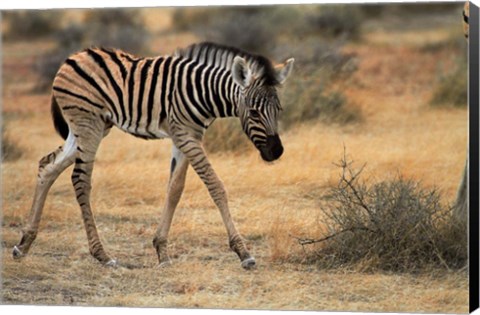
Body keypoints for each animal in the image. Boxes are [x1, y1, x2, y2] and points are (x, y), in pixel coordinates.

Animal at [12, 41, 292, 270]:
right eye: (254, 112)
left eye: (278, 109)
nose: (276, 151)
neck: (203, 92)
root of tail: (74, 56)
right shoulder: (186, 136)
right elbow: (215, 186)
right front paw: (243, 252)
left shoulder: (186, 137)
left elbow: (175, 189)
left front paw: (161, 251)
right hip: (88, 123)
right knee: (80, 179)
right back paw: (102, 255)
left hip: (89, 128)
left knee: (47, 166)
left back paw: (24, 243)